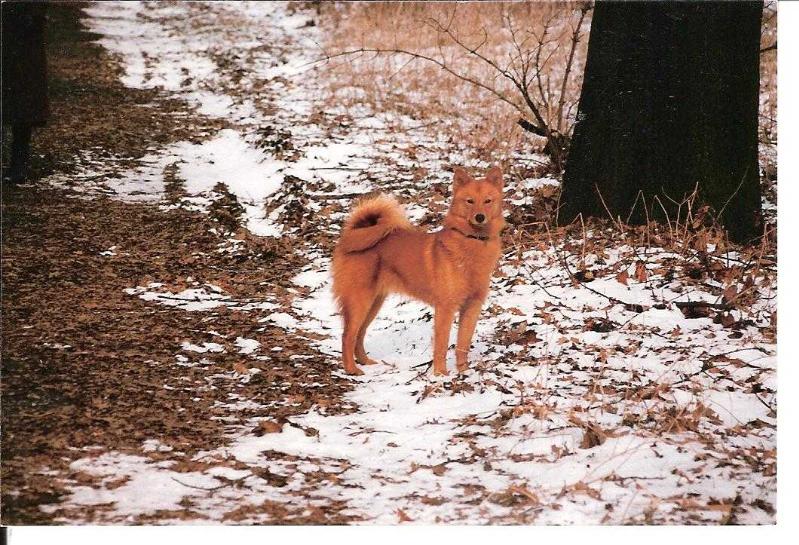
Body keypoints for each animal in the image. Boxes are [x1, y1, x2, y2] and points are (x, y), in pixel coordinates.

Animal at [332, 166, 506, 374]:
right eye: (469, 201)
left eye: (488, 201)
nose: (480, 217)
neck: (472, 243)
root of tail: (352, 235)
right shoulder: (445, 308)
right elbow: (442, 345)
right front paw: (441, 374)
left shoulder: (472, 307)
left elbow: (463, 344)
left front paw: (463, 372)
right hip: (359, 301)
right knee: (347, 335)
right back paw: (352, 369)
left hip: (374, 302)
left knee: (360, 333)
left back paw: (366, 362)